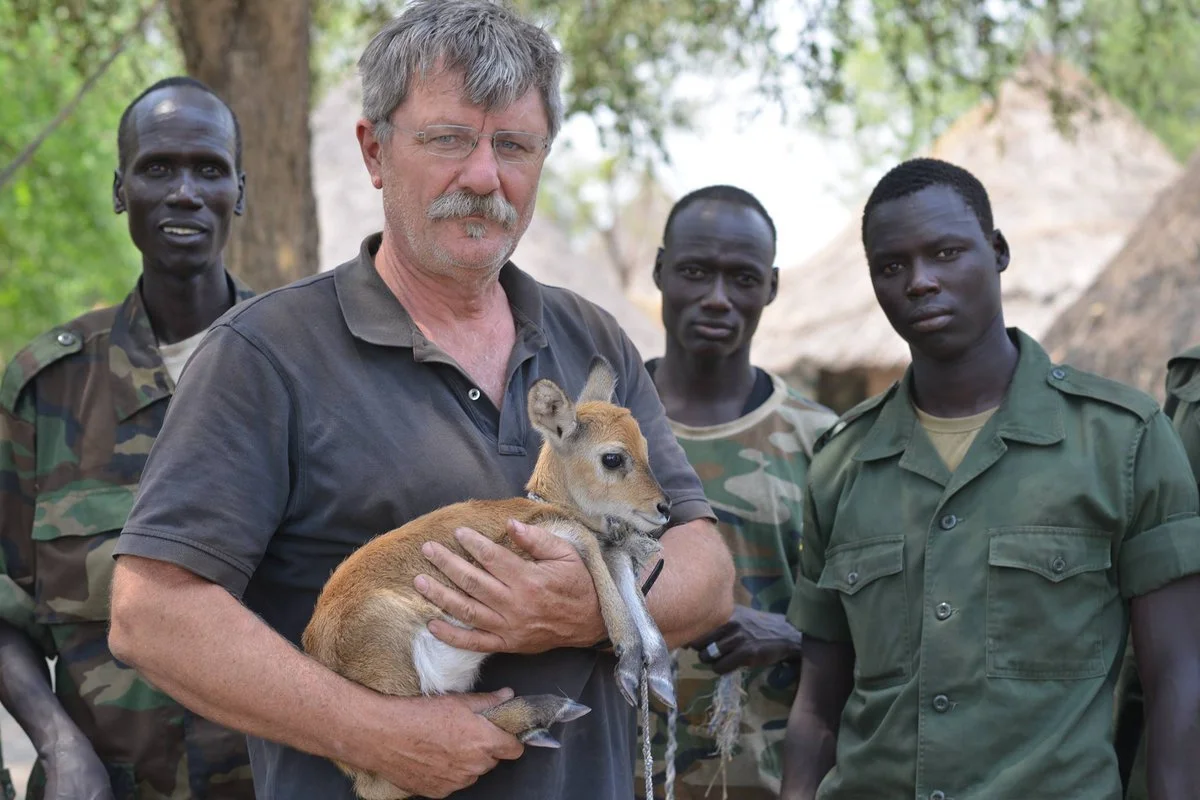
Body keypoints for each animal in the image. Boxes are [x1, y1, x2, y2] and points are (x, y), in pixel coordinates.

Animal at [302, 358, 677, 800]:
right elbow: (594, 547)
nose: (664, 507)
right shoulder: (537, 538)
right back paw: (552, 708)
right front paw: (630, 663)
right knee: (390, 775)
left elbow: (621, 564)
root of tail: (318, 646)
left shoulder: (595, 545)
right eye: (613, 458)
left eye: (646, 447)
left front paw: (659, 674)